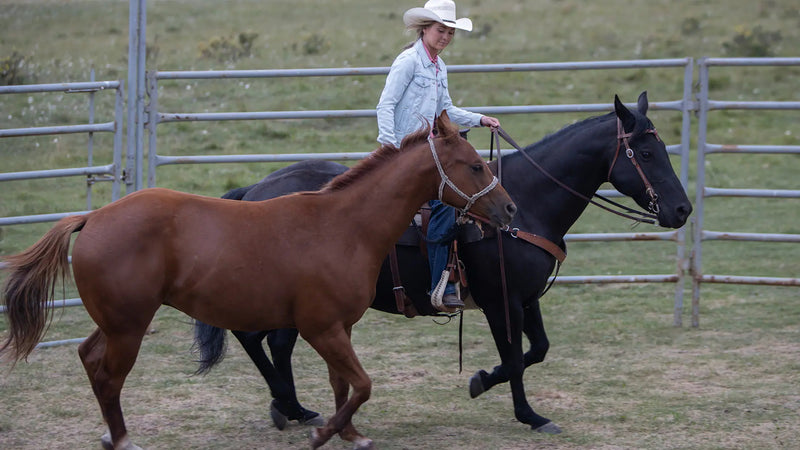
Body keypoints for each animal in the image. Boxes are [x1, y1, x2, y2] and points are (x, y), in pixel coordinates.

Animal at [0, 113, 516, 450]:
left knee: (90, 358)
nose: (509, 209)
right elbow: (362, 384)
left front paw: (348, 433)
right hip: (129, 328)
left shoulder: (339, 328)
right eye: (475, 165)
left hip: (115, 323)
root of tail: (92, 218)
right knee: (109, 377)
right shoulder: (321, 329)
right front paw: (322, 432)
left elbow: (343, 385)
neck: (343, 226)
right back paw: (124, 439)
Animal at [195, 91, 692, 432]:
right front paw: (525, 412)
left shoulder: (526, 297)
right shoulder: (500, 300)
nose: (682, 209)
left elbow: (537, 350)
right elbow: (515, 358)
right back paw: (287, 404)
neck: (526, 206)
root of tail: (254, 191)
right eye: (647, 153)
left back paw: (294, 408)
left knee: (275, 344)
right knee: (253, 337)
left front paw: (490, 384)